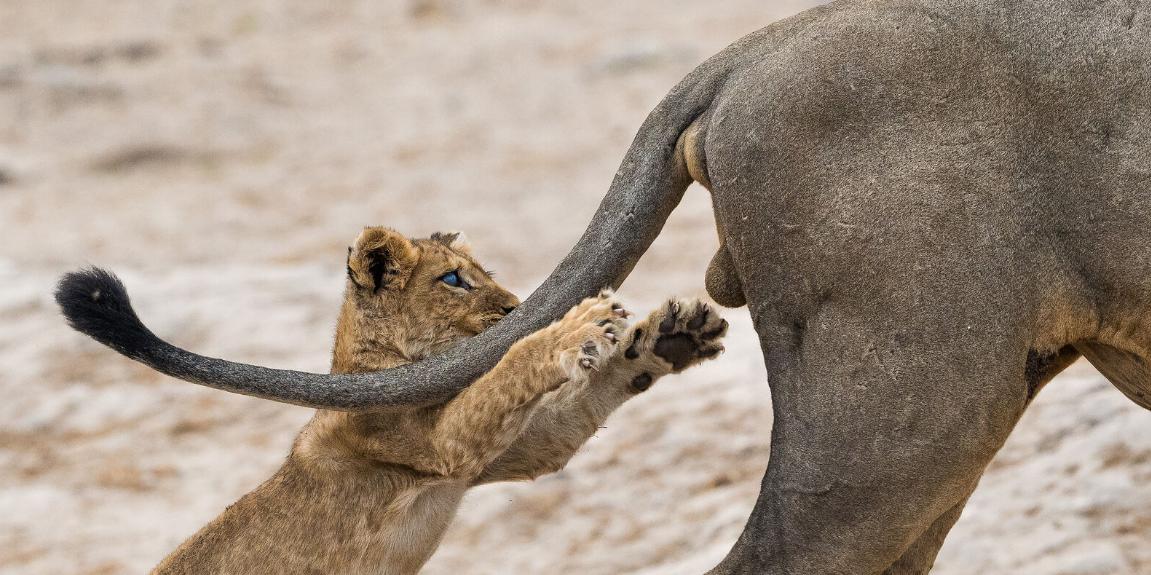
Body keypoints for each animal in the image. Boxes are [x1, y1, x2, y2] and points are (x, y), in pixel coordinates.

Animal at [60, 2, 1151, 572]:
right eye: (454, 276)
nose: (506, 307)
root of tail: (756, 47)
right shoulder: (432, 439)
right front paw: (581, 330)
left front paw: (647, 339)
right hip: (906, 405)